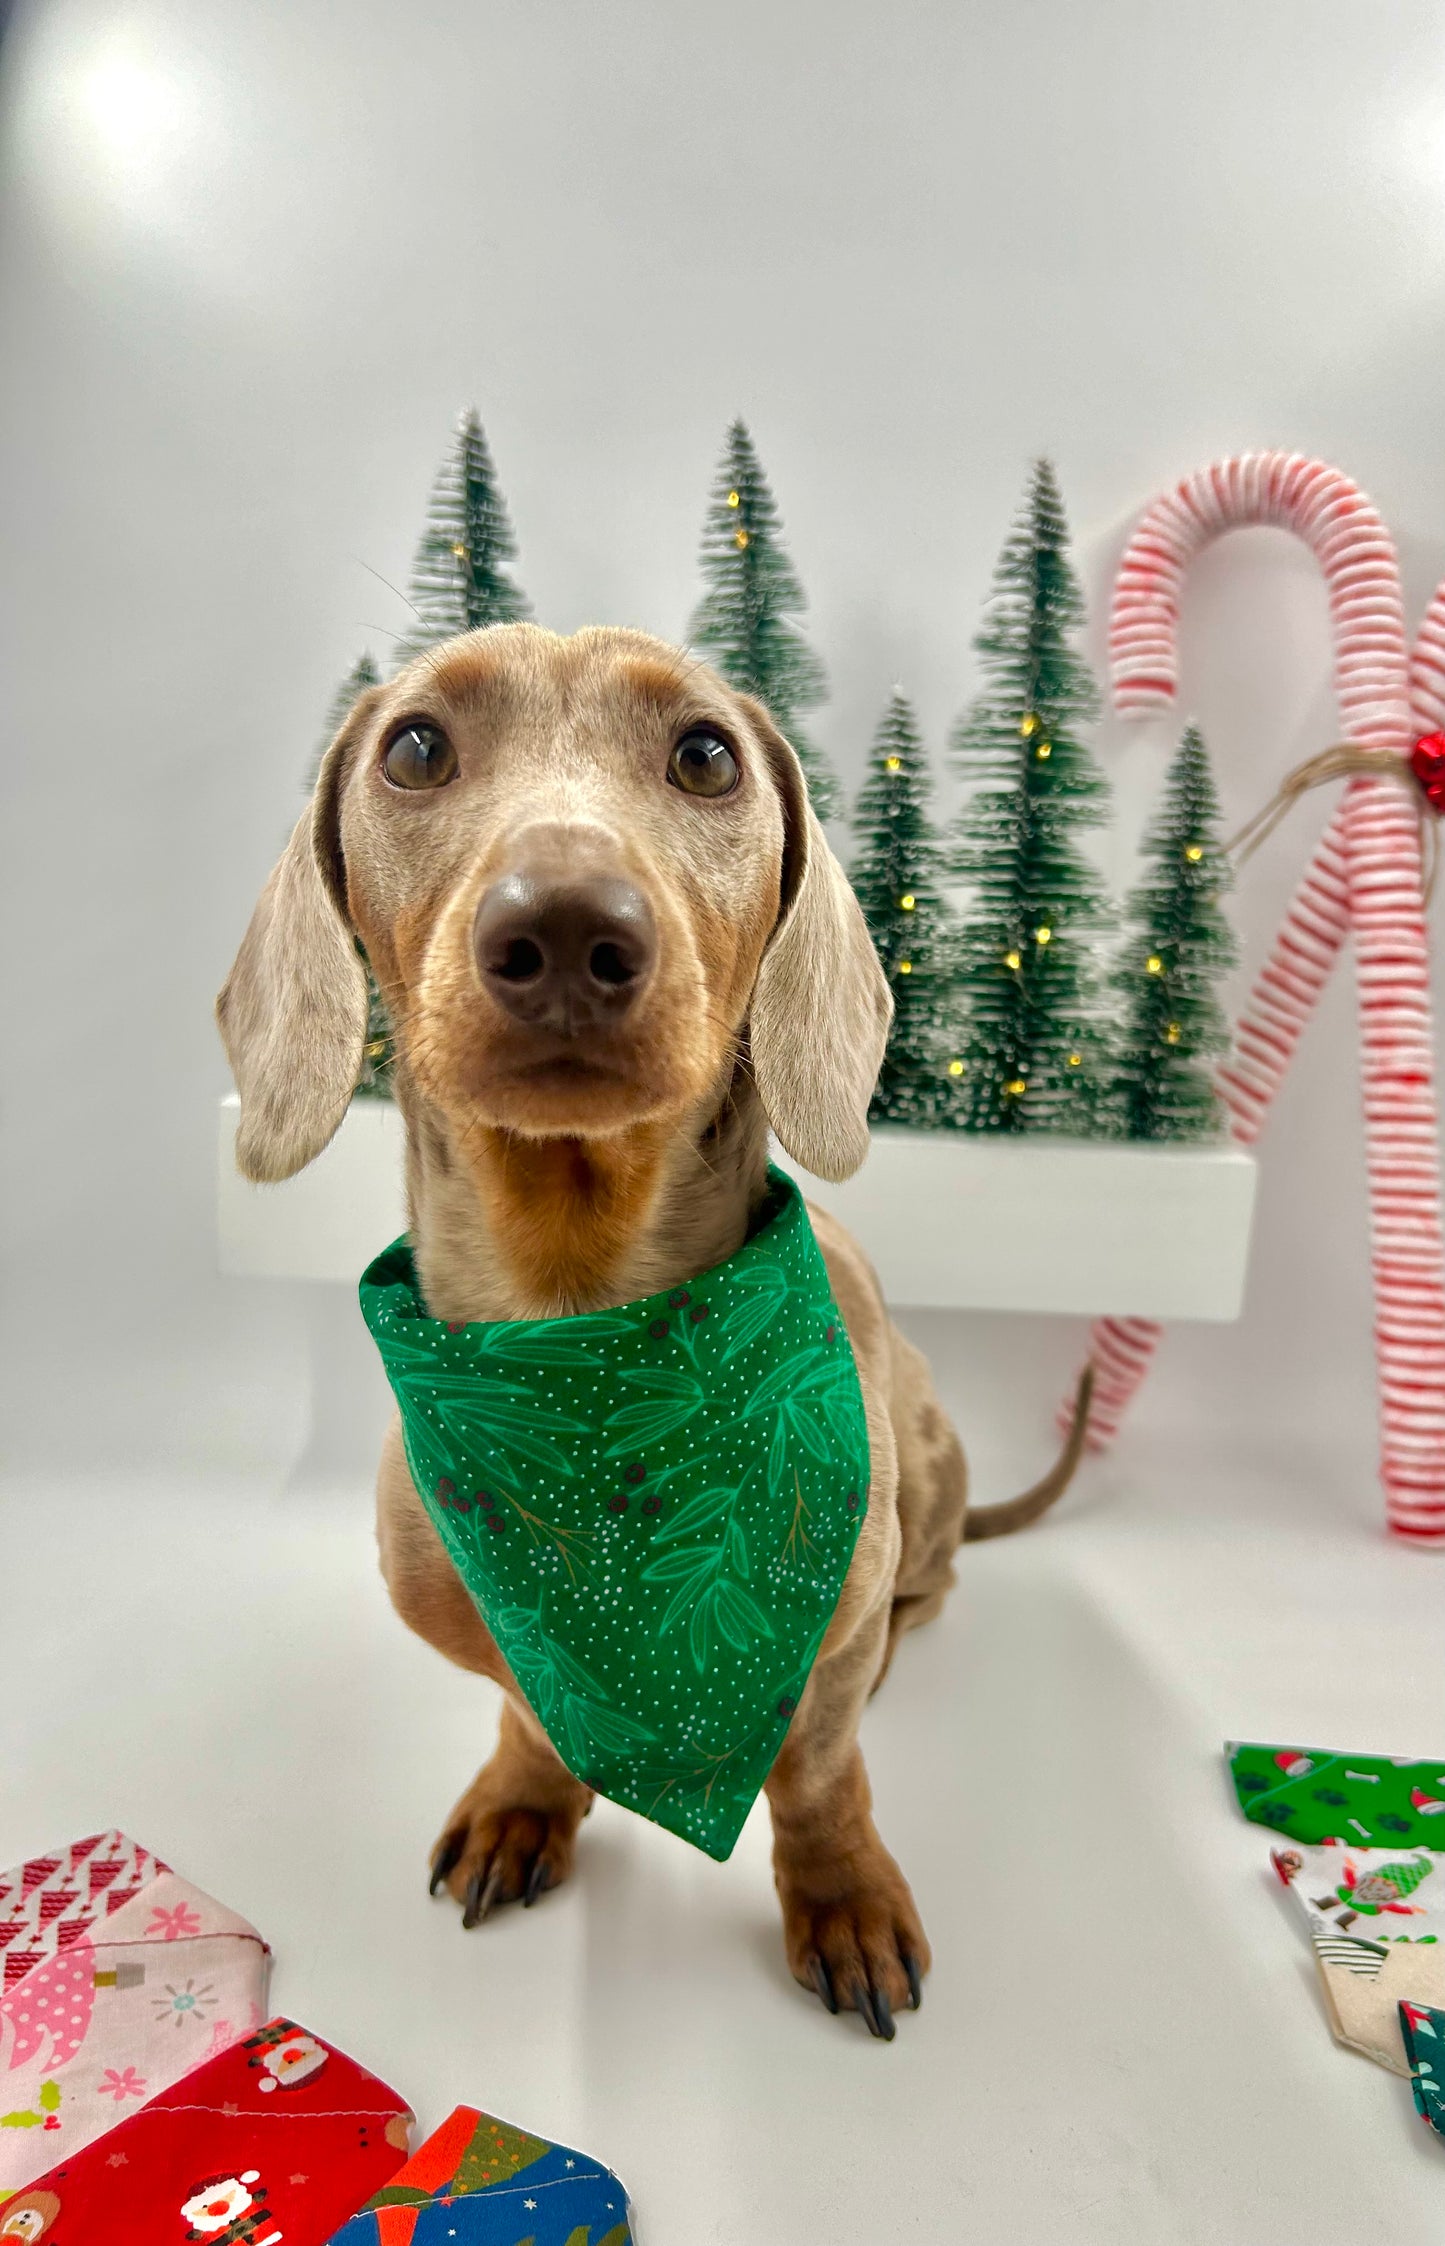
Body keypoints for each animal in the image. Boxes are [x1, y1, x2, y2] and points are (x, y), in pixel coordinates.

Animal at [220, 624, 1092, 2048]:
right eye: (415, 746)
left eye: (704, 755)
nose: (567, 926)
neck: (587, 1343)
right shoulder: (507, 1617)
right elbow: (529, 1707)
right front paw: (525, 1801)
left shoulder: (822, 1654)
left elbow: (819, 1774)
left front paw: (840, 1895)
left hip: (922, 1458)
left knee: (926, 1588)